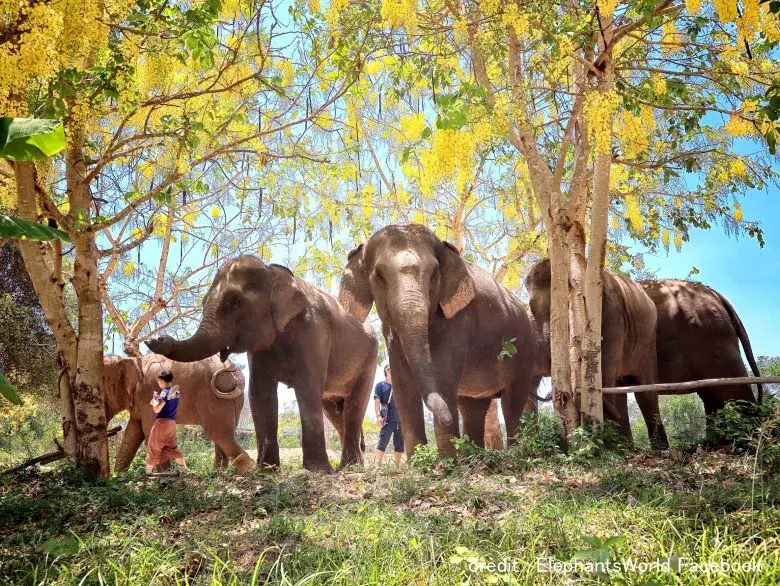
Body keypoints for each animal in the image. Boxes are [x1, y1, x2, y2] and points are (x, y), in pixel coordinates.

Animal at [103, 352, 256, 470]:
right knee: (224, 435)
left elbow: (149, 435)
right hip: (232, 401)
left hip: (214, 398)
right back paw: (218, 474)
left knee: (217, 433)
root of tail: (235, 371)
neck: (133, 360)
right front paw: (117, 477)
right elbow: (132, 436)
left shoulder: (147, 398)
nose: (116, 428)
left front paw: (164, 477)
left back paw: (246, 472)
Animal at [148, 256, 380, 470]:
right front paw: (266, 470)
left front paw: (318, 471)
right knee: (333, 409)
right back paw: (349, 466)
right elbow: (260, 393)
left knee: (354, 404)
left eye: (235, 301)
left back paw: (350, 467)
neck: (274, 274)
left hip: (370, 358)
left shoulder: (314, 332)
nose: (156, 339)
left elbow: (306, 389)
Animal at [342, 224, 544, 456]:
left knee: (513, 402)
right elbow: (402, 383)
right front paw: (420, 461)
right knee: (473, 407)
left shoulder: (457, 318)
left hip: (524, 348)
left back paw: (515, 453)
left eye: (434, 274)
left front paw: (447, 459)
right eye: (379, 276)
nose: (446, 417)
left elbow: (443, 375)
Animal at [524, 258, 664, 444]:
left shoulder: (614, 313)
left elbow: (605, 366)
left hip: (647, 343)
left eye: (569, 304)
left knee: (646, 392)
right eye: (531, 307)